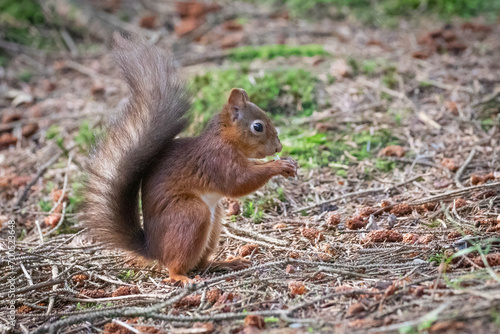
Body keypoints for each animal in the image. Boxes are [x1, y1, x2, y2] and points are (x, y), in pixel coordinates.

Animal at [84, 36, 298, 284]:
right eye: (258, 126)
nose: (278, 147)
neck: (224, 138)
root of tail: (153, 250)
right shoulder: (216, 159)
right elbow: (238, 182)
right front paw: (279, 165)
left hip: (214, 222)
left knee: (202, 262)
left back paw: (228, 262)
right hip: (191, 215)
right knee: (175, 266)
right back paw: (183, 278)